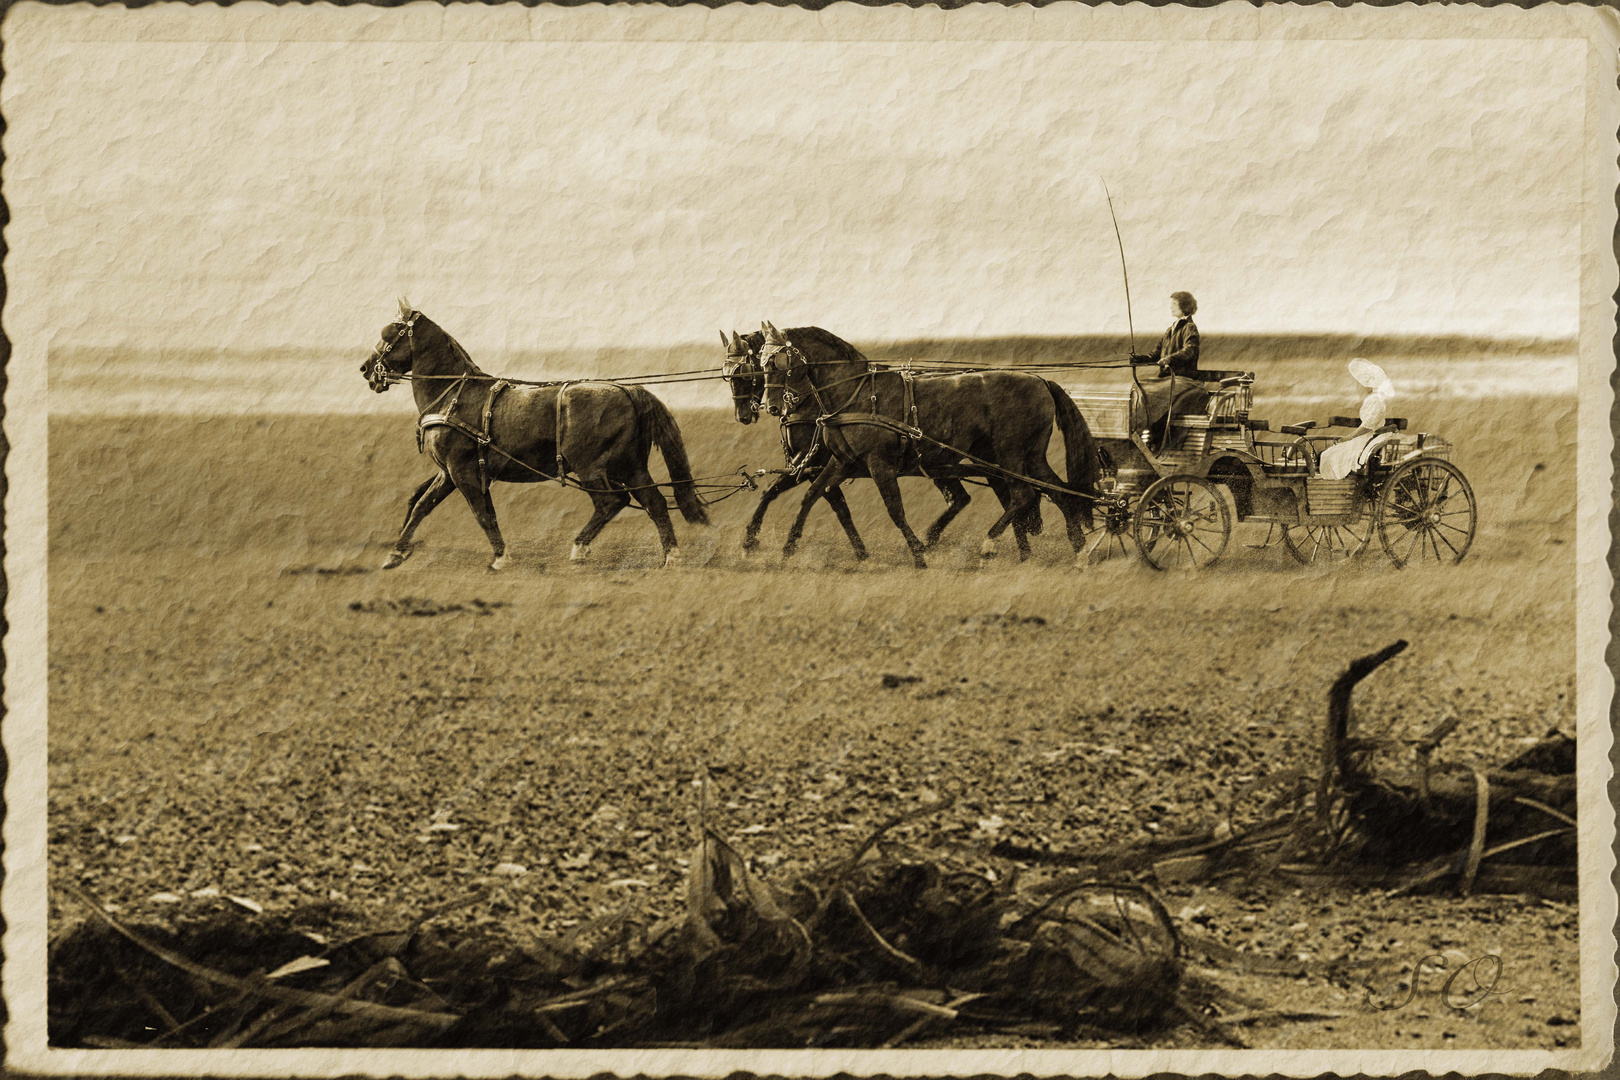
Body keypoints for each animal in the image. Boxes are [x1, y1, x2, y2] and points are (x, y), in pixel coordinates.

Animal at [364, 302, 706, 573]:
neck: (453, 396)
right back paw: (671, 556)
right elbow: (422, 505)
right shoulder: (449, 472)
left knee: (612, 501)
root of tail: (629, 390)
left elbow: (482, 514)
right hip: (630, 466)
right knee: (654, 502)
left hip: (592, 468)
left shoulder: (462, 472)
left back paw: (580, 547)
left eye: (389, 334)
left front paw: (501, 557)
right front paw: (396, 554)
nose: (366, 369)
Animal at [758, 320, 1101, 569]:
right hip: (1031, 456)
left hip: (1009, 454)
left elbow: (895, 510)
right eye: (760, 362)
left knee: (1024, 494)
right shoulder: (842, 461)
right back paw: (1078, 550)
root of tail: (1040, 381)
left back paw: (989, 544)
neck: (855, 395)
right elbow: (812, 496)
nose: (771, 406)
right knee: (1058, 491)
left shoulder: (879, 463)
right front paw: (788, 547)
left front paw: (918, 553)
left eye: (778, 362)